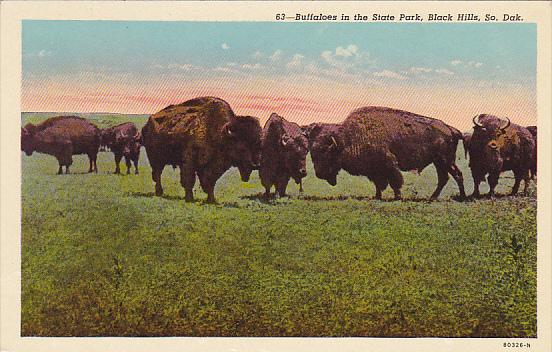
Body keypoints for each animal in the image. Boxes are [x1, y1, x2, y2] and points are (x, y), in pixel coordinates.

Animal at [306, 106, 466, 201]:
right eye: (312, 153)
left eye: (326, 153)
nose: (319, 174)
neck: (346, 138)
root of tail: (450, 129)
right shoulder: (374, 170)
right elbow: (378, 184)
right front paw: (377, 196)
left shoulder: (389, 164)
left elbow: (395, 182)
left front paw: (397, 197)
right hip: (439, 162)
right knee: (444, 178)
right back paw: (433, 198)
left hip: (445, 160)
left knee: (456, 175)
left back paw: (460, 197)